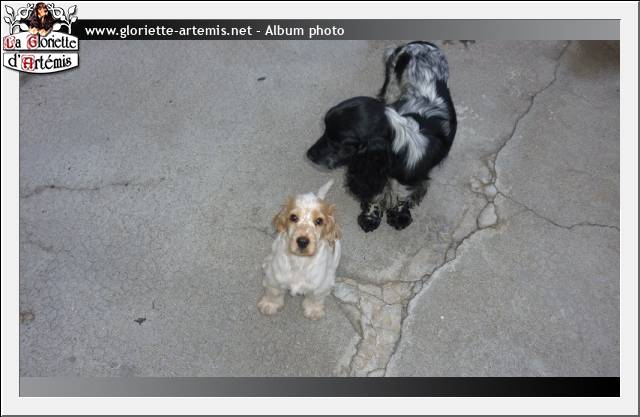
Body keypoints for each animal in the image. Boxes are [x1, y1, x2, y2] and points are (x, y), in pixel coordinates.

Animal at [258, 180, 341, 320]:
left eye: (319, 221)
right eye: (293, 217)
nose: (302, 241)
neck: (300, 261)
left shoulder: (321, 286)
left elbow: (315, 298)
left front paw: (313, 311)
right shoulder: (274, 278)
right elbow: (274, 292)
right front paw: (269, 305)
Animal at [306, 41, 457, 232]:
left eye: (339, 141)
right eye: (325, 129)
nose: (309, 154)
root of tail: (420, 43)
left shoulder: (410, 179)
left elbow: (402, 196)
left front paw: (399, 216)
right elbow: (375, 196)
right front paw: (370, 217)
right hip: (392, 85)